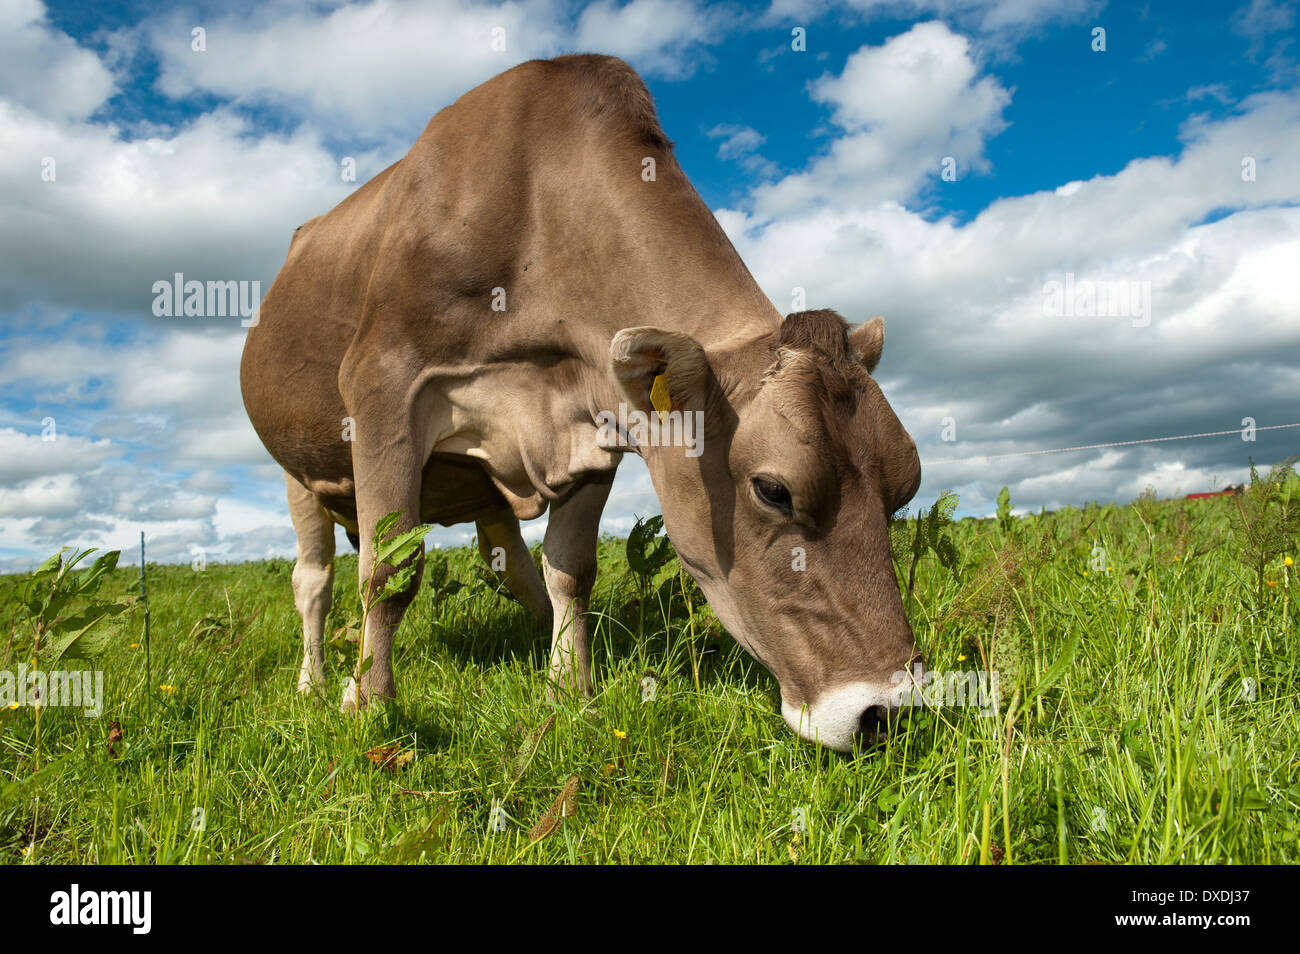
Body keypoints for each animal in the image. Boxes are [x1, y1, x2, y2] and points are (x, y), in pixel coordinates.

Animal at [240, 54, 923, 752]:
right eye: (773, 490)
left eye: (906, 488)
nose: (886, 712)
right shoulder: (384, 386)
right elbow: (390, 569)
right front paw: (371, 709)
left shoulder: (594, 429)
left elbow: (571, 567)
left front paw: (570, 691)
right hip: (300, 471)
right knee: (313, 580)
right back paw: (315, 683)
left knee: (509, 561)